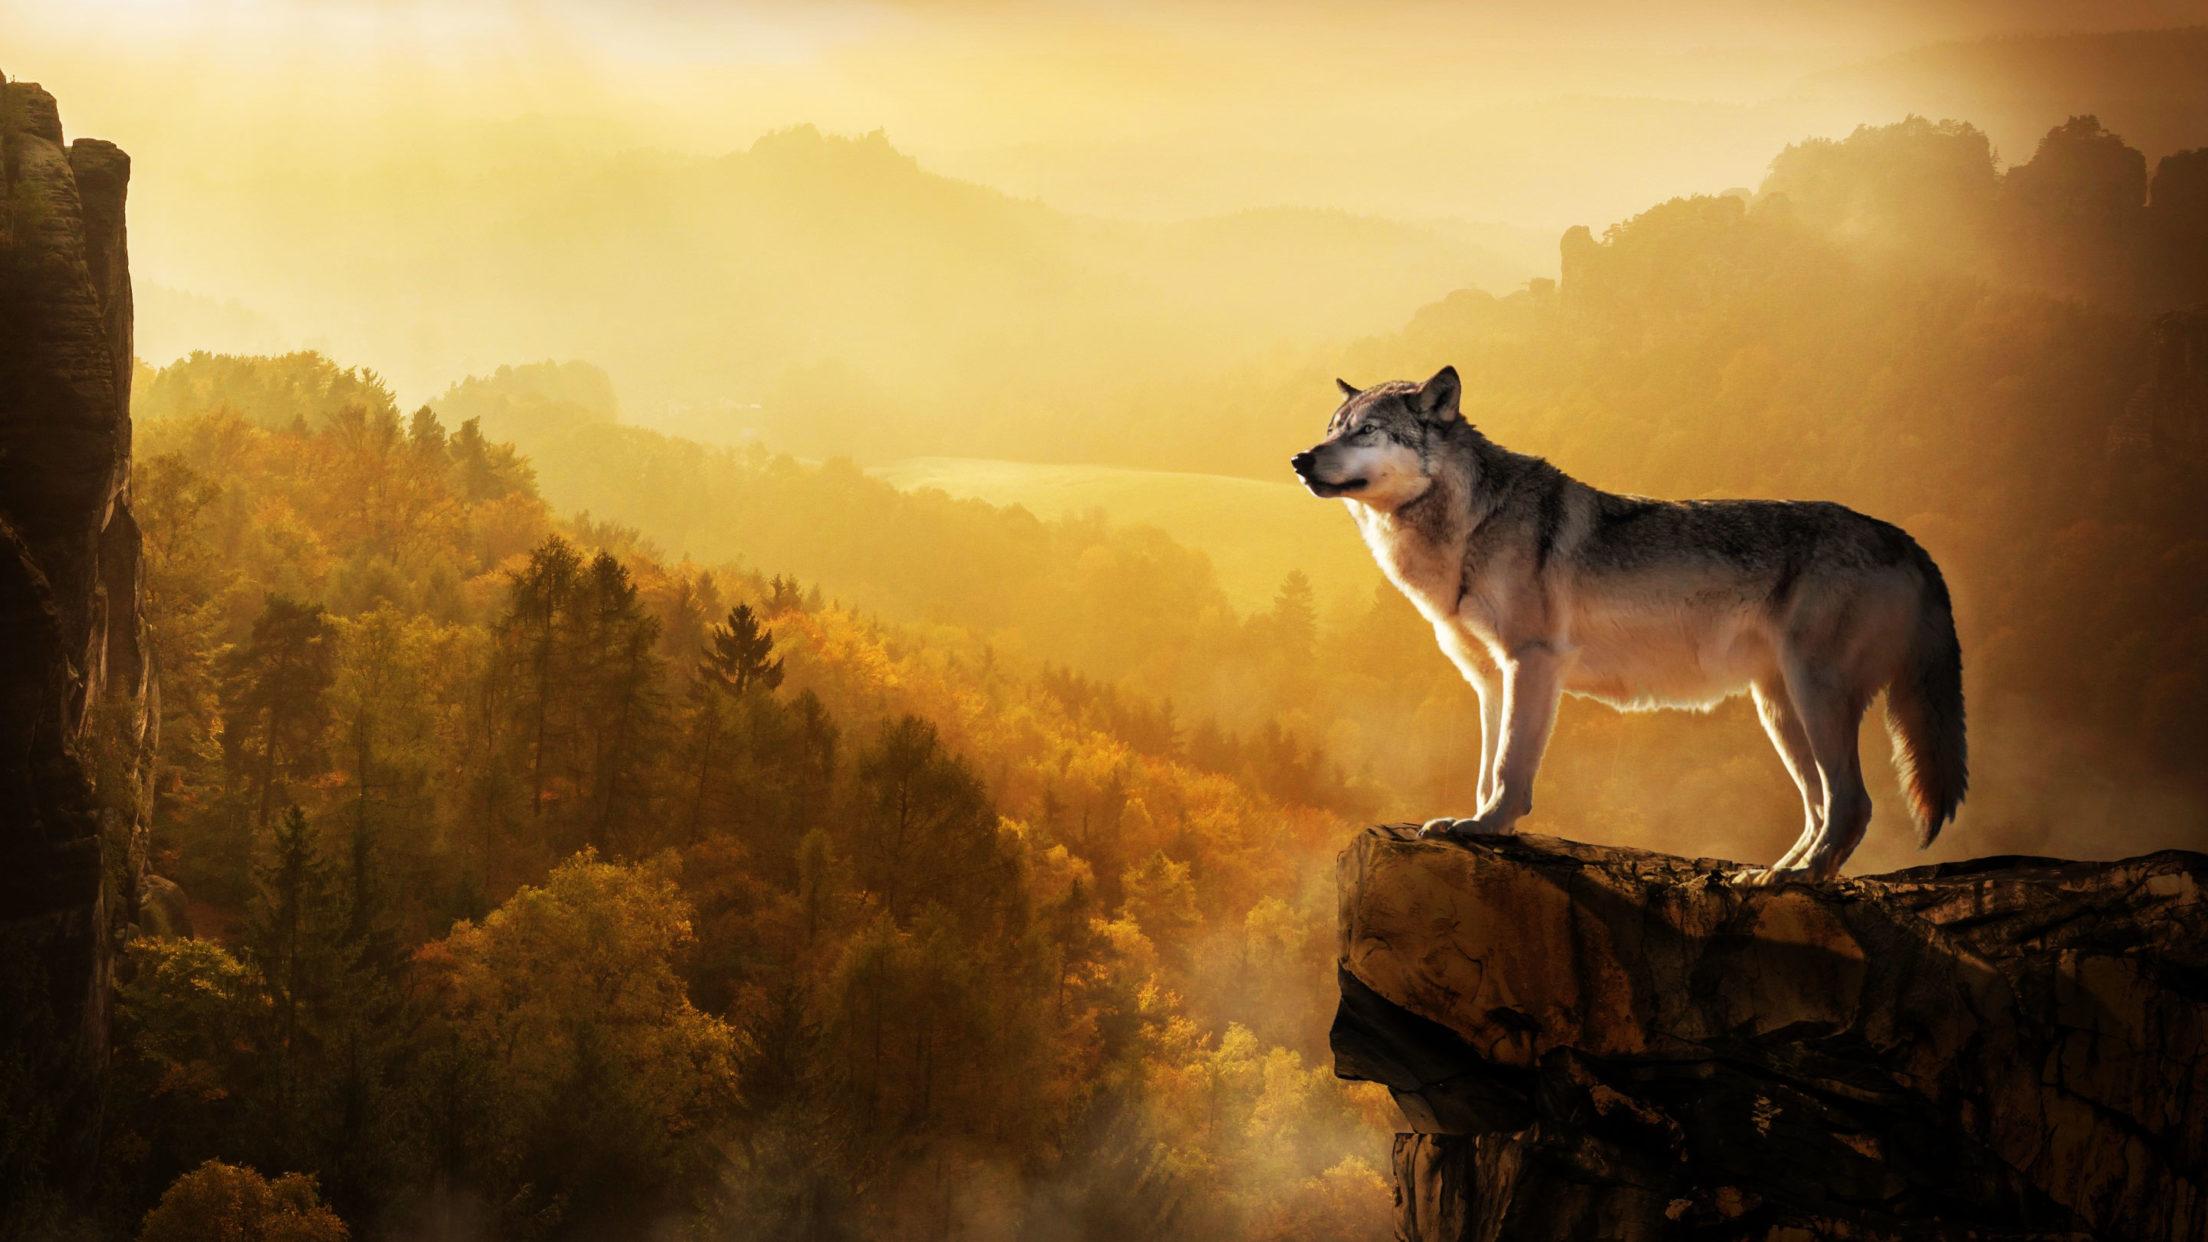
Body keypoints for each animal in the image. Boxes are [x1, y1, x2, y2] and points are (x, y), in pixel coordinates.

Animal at [1291, 366, 1966, 882]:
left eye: (1367, 431)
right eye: (1331, 429)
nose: (1298, 459)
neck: (1468, 525)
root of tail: (1907, 540)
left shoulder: (1533, 663)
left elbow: (1510, 766)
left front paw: (1490, 826)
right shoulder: (1489, 680)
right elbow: (1486, 769)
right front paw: (1475, 823)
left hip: (1813, 697)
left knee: (1851, 804)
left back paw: (1798, 879)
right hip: (1778, 710)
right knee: (1820, 807)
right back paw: (1771, 874)